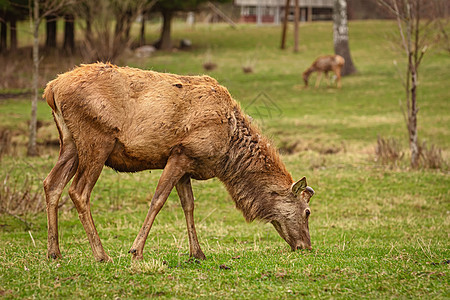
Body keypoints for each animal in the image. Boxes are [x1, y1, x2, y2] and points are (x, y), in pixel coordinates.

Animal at [44, 62, 314, 262]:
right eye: (308, 211)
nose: (306, 246)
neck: (227, 153)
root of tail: (51, 89)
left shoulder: (187, 164)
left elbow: (189, 205)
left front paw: (197, 253)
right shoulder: (182, 152)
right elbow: (158, 199)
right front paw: (136, 250)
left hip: (70, 143)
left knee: (51, 183)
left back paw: (54, 252)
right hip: (97, 139)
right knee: (78, 191)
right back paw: (101, 255)